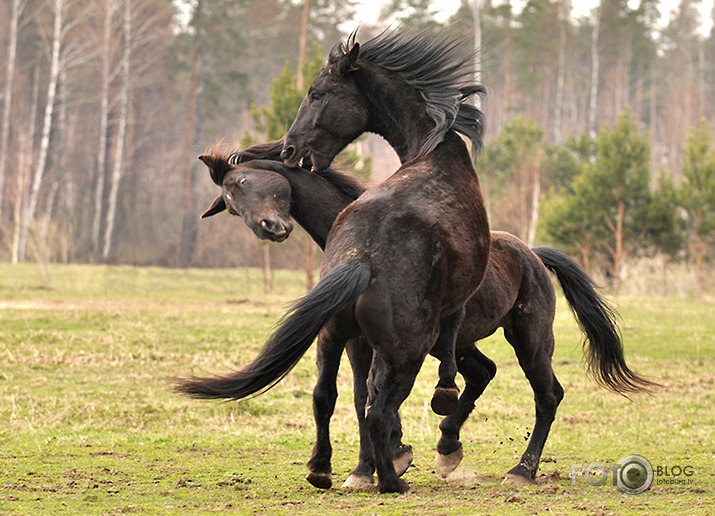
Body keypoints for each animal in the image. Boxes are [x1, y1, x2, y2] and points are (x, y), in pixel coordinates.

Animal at [194, 145, 656, 488]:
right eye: (231, 200)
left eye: (244, 181)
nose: (270, 227)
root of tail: (533, 254)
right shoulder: (355, 341)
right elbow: (354, 397)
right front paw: (371, 465)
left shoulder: (376, 344)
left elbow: (369, 396)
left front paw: (384, 461)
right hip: (460, 344)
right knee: (482, 373)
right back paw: (448, 447)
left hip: (530, 340)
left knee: (548, 395)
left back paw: (521, 471)